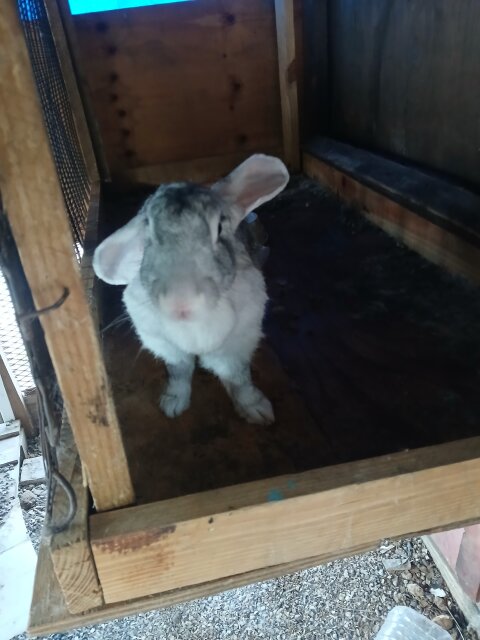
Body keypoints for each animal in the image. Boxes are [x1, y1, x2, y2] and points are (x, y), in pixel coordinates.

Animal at [93, 154, 289, 425]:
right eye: (148, 238)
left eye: (219, 229)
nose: (180, 301)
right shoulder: (168, 347)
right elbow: (179, 373)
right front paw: (173, 404)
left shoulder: (236, 346)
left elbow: (239, 378)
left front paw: (256, 410)